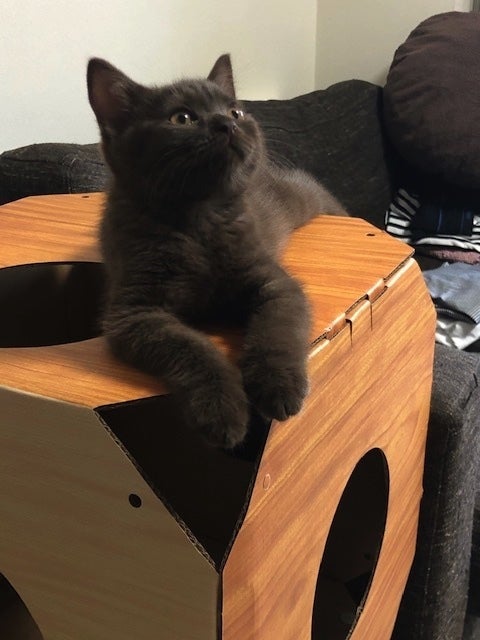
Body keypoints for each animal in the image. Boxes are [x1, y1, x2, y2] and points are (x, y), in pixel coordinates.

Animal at [87, 54, 347, 449]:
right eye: (182, 118)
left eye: (235, 111)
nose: (227, 123)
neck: (200, 220)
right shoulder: (133, 313)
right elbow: (190, 348)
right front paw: (221, 408)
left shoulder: (275, 283)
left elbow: (277, 329)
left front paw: (278, 385)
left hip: (305, 198)